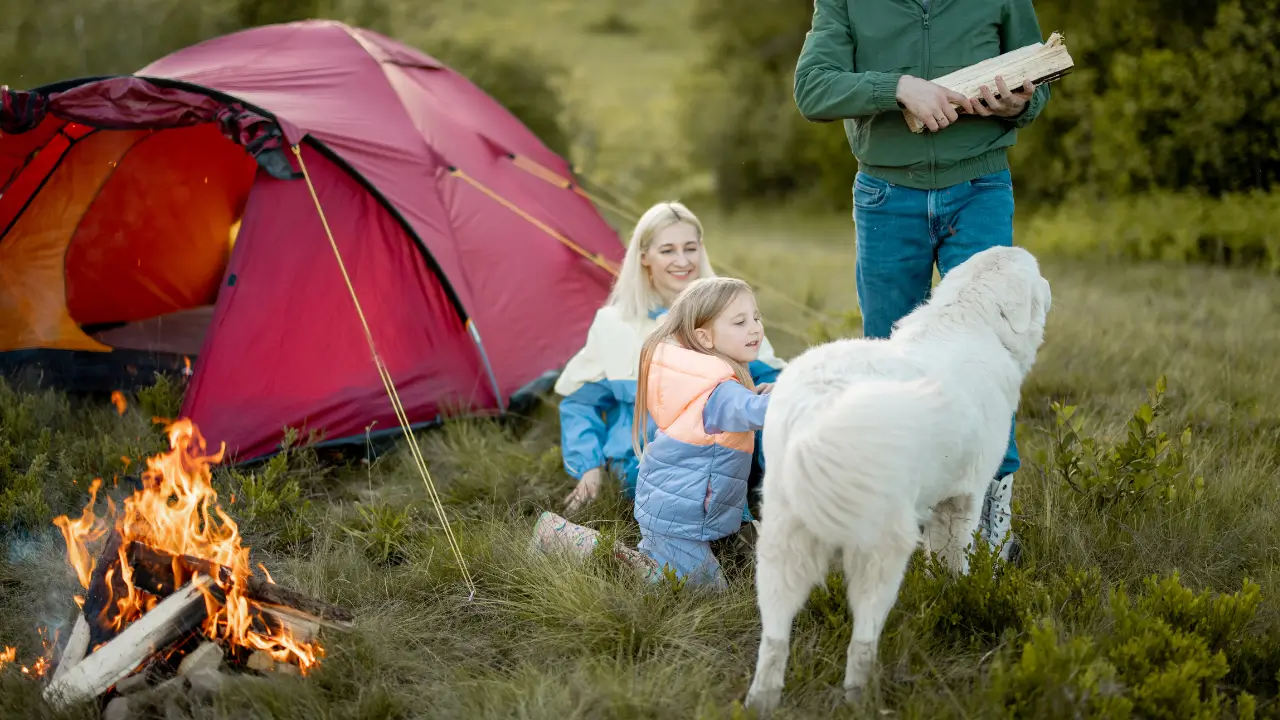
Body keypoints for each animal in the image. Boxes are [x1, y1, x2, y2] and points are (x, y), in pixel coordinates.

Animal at [742, 243, 1049, 707]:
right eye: (1037, 275)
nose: (1051, 288)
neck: (972, 319)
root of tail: (819, 411)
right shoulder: (963, 497)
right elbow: (955, 556)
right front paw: (959, 595)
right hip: (878, 549)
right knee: (862, 639)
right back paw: (862, 698)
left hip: (781, 540)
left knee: (774, 637)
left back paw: (762, 700)